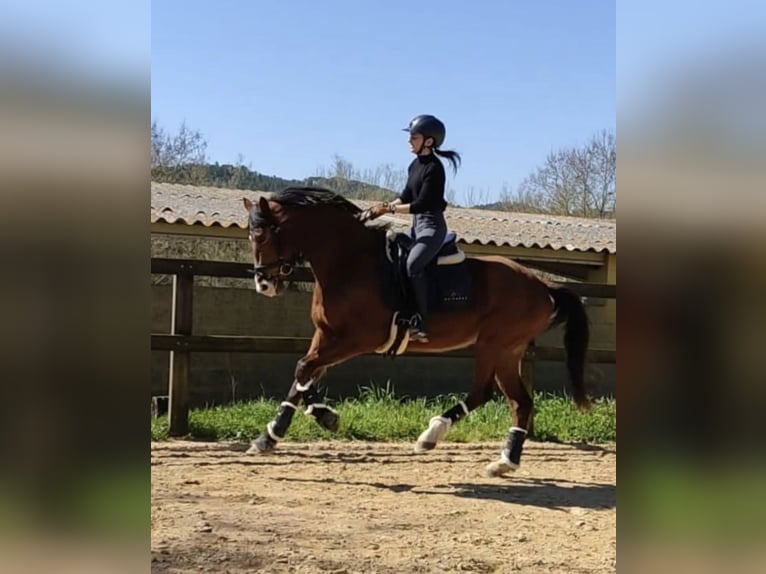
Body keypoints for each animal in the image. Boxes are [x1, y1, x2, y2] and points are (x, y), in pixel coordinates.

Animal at [242, 186, 590, 477]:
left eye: (262, 236)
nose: (263, 285)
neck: (349, 261)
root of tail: (542, 287)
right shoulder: (326, 336)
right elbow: (303, 377)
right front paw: (274, 434)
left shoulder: (356, 339)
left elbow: (303, 368)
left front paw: (306, 422)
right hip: (508, 351)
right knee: (519, 403)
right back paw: (503, 461)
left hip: (495, 344)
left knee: (485, 392)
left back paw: (435, 435)